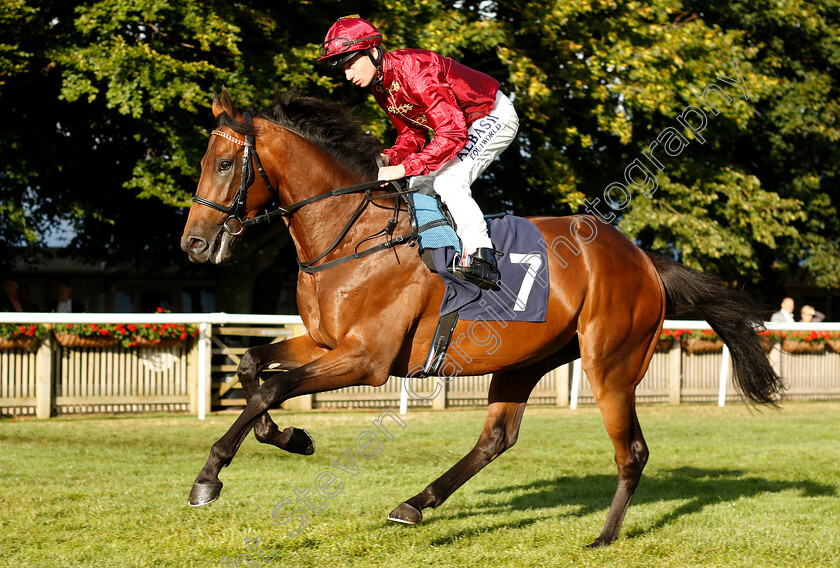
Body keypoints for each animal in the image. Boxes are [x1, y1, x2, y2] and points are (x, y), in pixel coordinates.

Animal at [180, 87, 784, 544]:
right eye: (205, 163)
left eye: (226, 164)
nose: (193, 243)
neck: (351, 237)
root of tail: (642, 259)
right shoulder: (326, 342)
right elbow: (253, 367)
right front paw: (288, 437)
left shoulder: (367, 359)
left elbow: (270, 387)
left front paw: (210, 475)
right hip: (526, 359)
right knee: (497, 438)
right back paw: (415, 503)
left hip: (609, 364)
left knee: (631, 451)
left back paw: (605, 536)